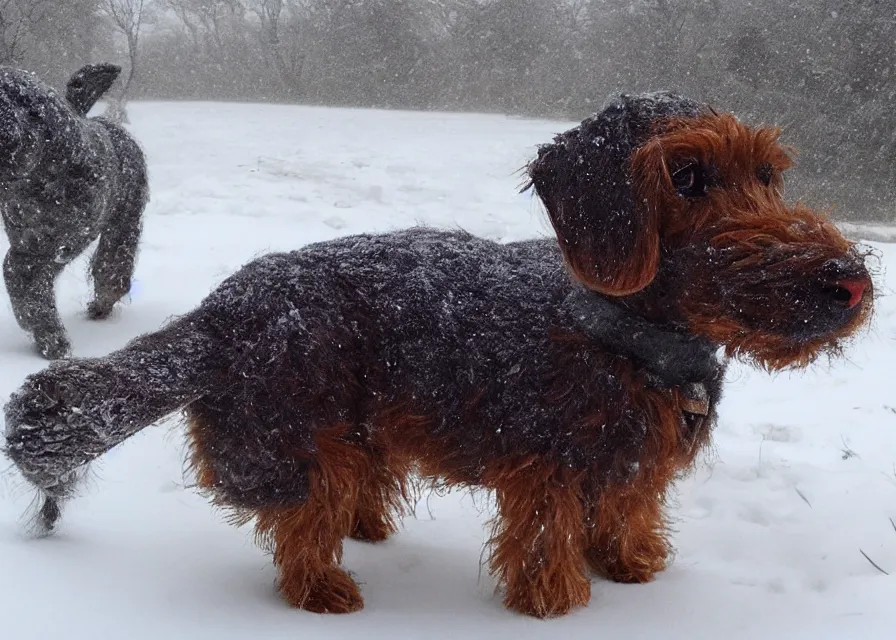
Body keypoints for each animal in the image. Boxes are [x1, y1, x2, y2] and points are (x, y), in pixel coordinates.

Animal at [0, 63, 147, 360]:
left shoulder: (67, 236)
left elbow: (24, 269)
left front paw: (47, 333)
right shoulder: (28, 237)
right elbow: (23, 272)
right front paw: (43, 328)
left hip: (124, 221)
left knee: (113, 265)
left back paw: (102, 302)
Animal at [3, 91, 872, 616]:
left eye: (769, 174)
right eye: (687, 175)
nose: (851, 283)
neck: (633, 340)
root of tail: (217, 312)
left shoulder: (630, 466)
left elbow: (626, 509)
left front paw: (634, 565)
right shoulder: (545, 469)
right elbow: (547, 540)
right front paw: (558, 603)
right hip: (300, 439)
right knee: (301, 528)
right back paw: (325, 590)